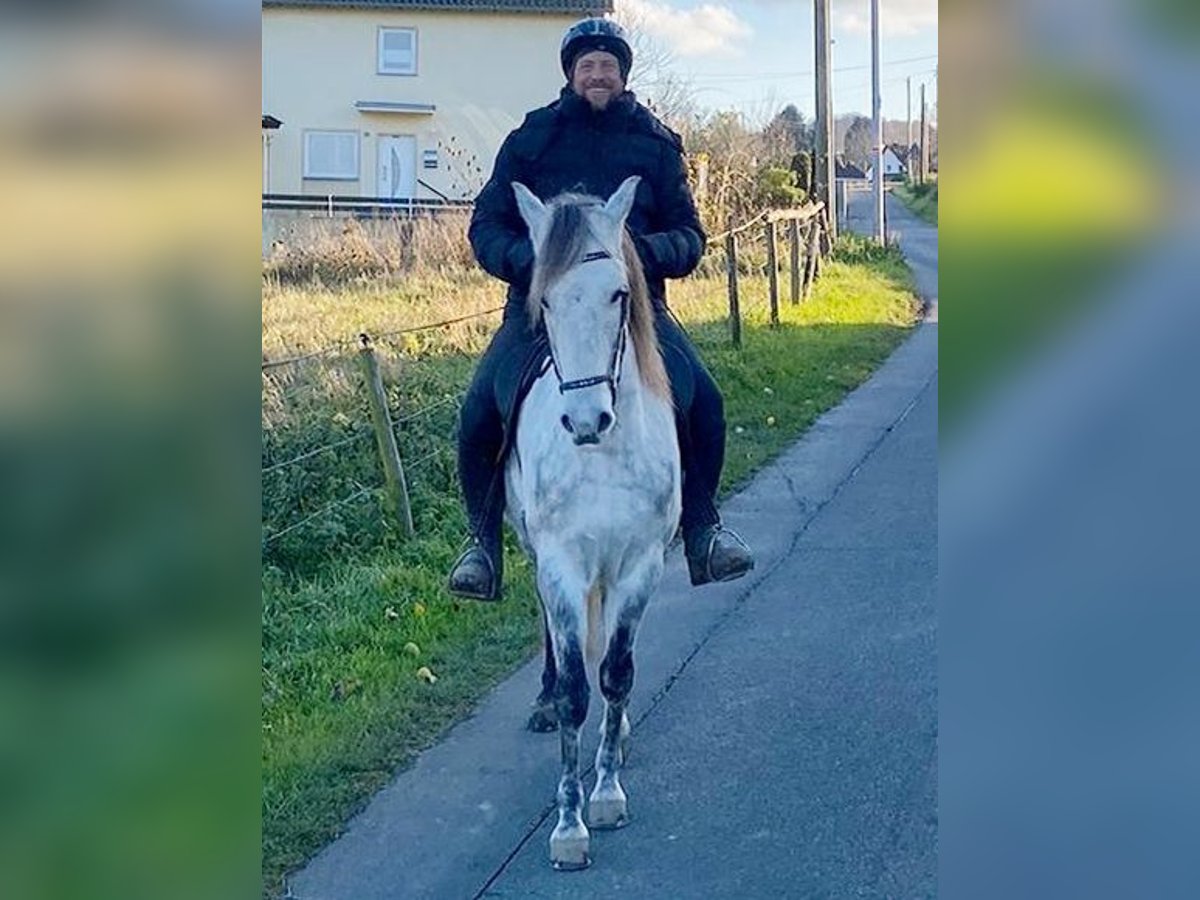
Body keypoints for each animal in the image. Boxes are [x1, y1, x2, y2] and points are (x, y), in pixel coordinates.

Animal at [501, 177, 681, 873]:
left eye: (618, 294)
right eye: (545, 299)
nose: (584, 422)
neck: (602, 455)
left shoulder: (640, 563)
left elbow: (617, 673)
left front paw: (605, 793)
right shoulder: (561, 565)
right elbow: (578, 688)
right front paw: (569, 825)